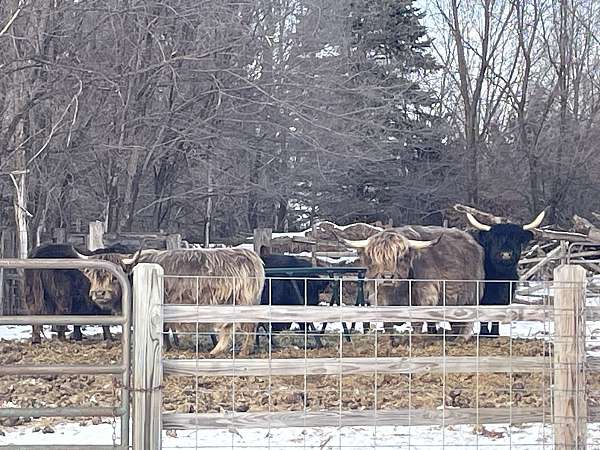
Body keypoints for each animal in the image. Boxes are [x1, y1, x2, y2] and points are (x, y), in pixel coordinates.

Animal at [340, 227, 486, 342]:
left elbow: (417, 320)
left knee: (467, 318)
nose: (387, 277)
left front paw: (415, 338)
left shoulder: (425, 294)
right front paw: (391, 341)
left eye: (400, 258)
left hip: (471, 293)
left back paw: (461, 338)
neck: (398, 292)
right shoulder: (380, 296)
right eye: (376, 258)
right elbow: (387, 322)